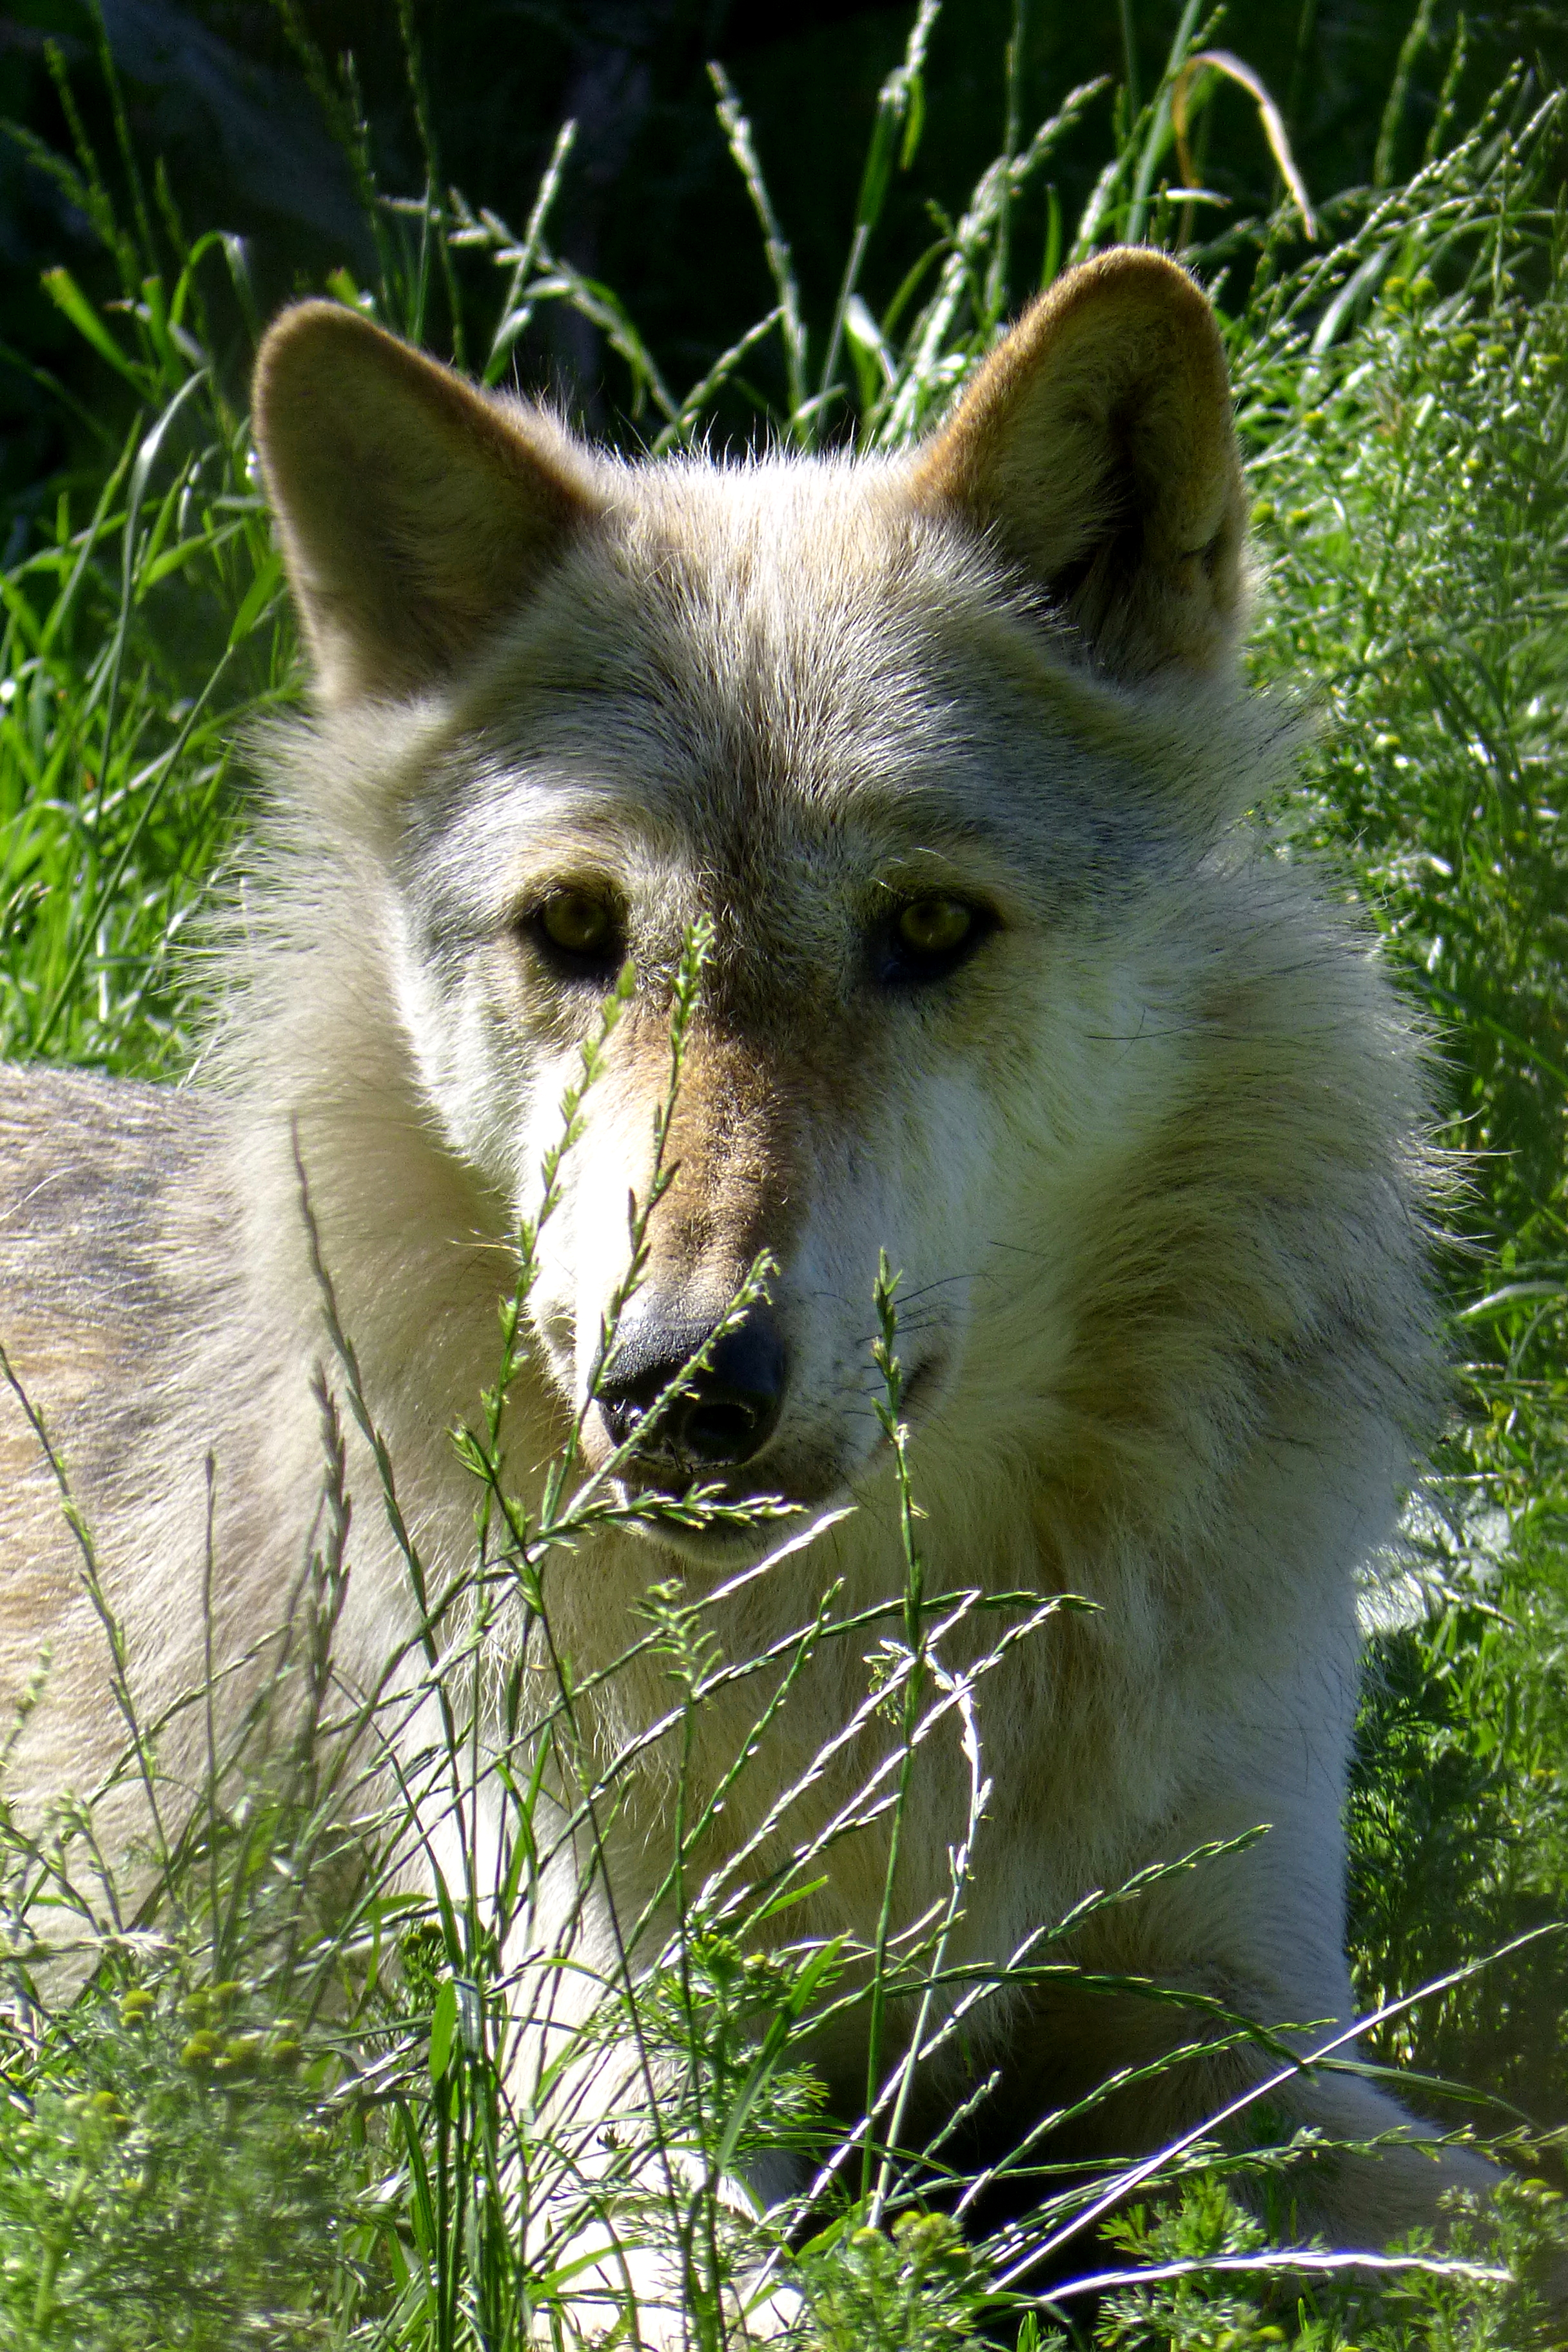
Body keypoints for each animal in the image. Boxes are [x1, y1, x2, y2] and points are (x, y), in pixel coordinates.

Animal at [0, 247, 1499, 2332]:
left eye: (930, 924)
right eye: (576, 929)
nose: (680, 1380)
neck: (868, 1665)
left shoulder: (1250, 2041)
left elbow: (1496, 2232)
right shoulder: (595, 2064)